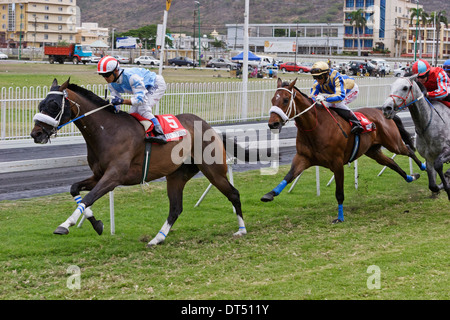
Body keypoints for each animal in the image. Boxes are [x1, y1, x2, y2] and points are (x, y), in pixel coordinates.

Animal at [29, 79, 248, 246]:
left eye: (54, 105)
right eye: (40, 104)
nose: (35, 134)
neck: (107, 131)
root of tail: (211, 128)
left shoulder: (114, 177)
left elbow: (89, 197)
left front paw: (65, 225)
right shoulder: (99, 175)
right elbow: (75, 189)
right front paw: (97, 224)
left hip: (213, 170)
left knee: (234, 193)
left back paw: (241, 230)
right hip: (177, 175)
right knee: (175, 208)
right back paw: (157, 239)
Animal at [260, 78, 426, 222]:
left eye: (285, 100)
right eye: (272, 100)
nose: (273, 124)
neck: (316, 126)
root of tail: (382, 112)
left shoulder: (337, 163)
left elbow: (339, 193)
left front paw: (340, 217)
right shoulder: (303, 158)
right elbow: (288, 176)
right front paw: (269, 194)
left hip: (393, 143)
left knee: (409, 150)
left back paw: (423, 167)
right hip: (373, 151)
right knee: (392, 164)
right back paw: (411, 177)